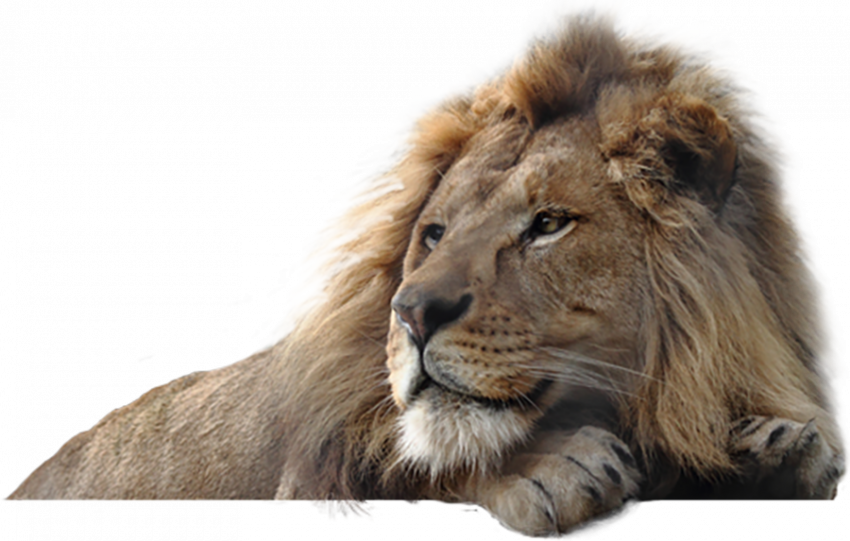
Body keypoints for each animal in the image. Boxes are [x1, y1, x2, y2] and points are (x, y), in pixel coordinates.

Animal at [7, 1, 849, 538]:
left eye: (548, 224)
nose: (412, 314)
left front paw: (771, 445)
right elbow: (406, 450)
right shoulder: (313, 461)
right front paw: (550, 468)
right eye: (434, 233)